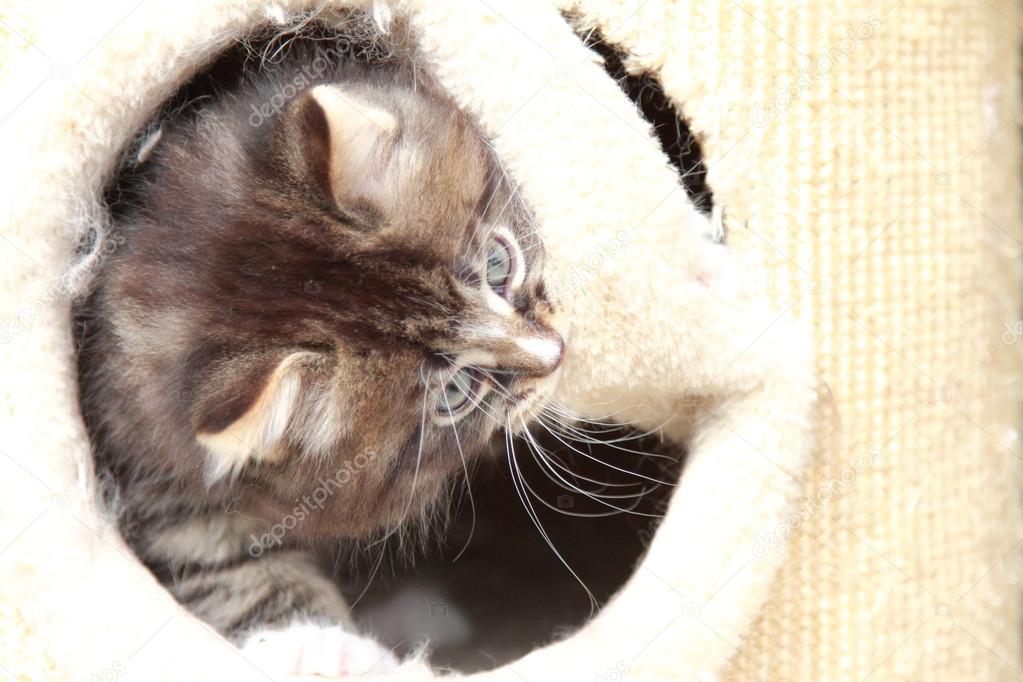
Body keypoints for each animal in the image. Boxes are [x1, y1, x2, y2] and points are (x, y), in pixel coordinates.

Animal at [74, 43, 564, 678]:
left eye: (500, 264)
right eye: (453, 395)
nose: (556, 356)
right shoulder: (154, 478)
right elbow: (233, 571)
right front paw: (323, 647)